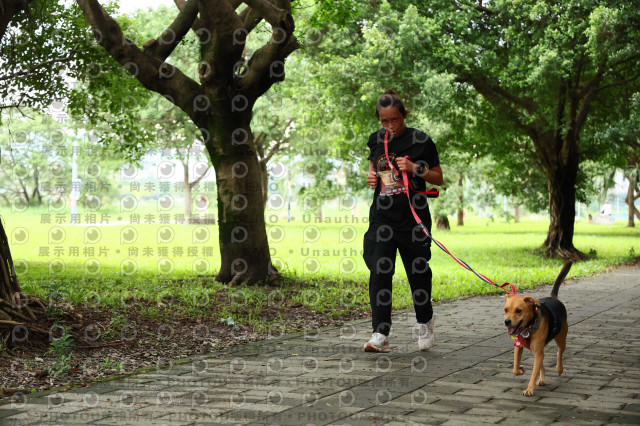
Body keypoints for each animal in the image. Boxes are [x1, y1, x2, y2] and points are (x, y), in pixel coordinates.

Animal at [502, 262, 572, 396]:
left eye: (518, 311)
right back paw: (542, 378)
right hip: (537, 349)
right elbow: (515, 369)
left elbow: (534, 373)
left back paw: (559, 368)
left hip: (561, 338)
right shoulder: (519, 347)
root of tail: (553, 298)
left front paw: (529, 389)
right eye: (506, 310)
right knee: (541, 364)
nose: (507, 322)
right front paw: (521, 369)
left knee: (559, 352)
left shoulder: (538, 352)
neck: (528, 327)